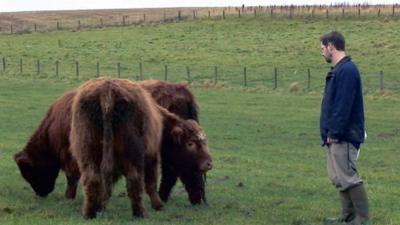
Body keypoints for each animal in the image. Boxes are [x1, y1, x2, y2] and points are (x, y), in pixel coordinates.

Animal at [14, 79, 211, 204]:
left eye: (29, 171)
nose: (41, 192)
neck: (54, 124)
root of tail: (181, 91)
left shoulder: (72, 155)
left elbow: (72, 176)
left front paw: (69, 196)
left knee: (177, 171)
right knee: (184, 171)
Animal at [69, 78, 209, 218]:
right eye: (190, 143)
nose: (208, 163)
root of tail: (107, 93)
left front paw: (100, 205)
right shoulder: (153, 156)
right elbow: (152, 182)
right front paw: (158, 204)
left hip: (88, 151)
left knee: (92, 178)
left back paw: (89, 213)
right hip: (133, 155)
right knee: (134, 179)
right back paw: (141, 212)